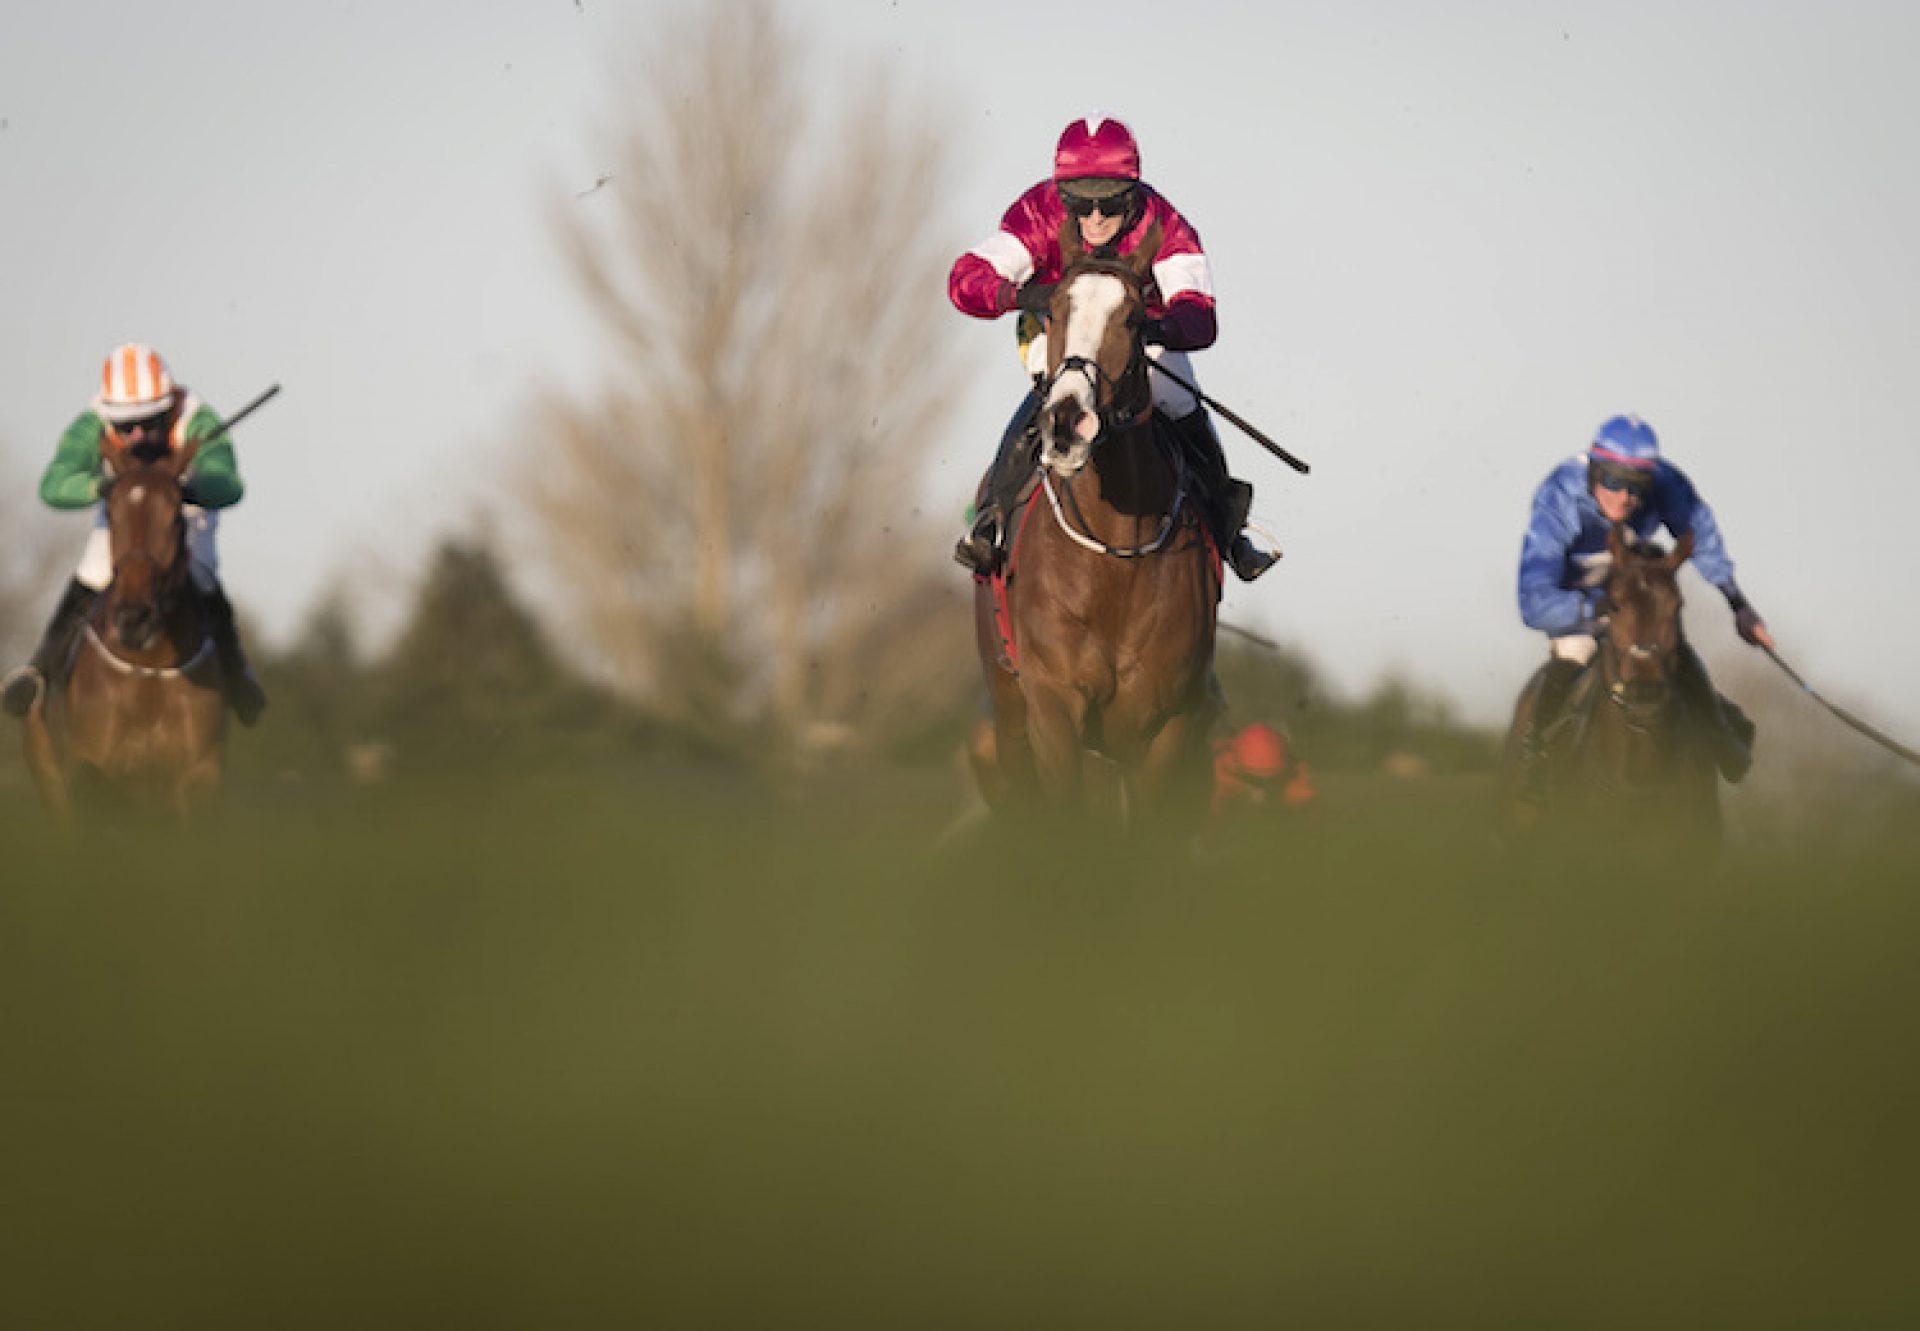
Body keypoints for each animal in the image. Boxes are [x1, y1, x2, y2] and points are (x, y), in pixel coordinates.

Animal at [21, 435, 226, 814]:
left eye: (175, 517)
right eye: (111, 514)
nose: (133, 619)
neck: (151, 668)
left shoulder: (199, 778)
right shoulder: (89, 773)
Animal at [967, 224, 1221, 829]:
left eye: (1132, 318)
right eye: (1056, 309)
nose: (1065, 422)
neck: (1113, 557)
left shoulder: (1168, 726)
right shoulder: (1052, 709)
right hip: (1008, 714)